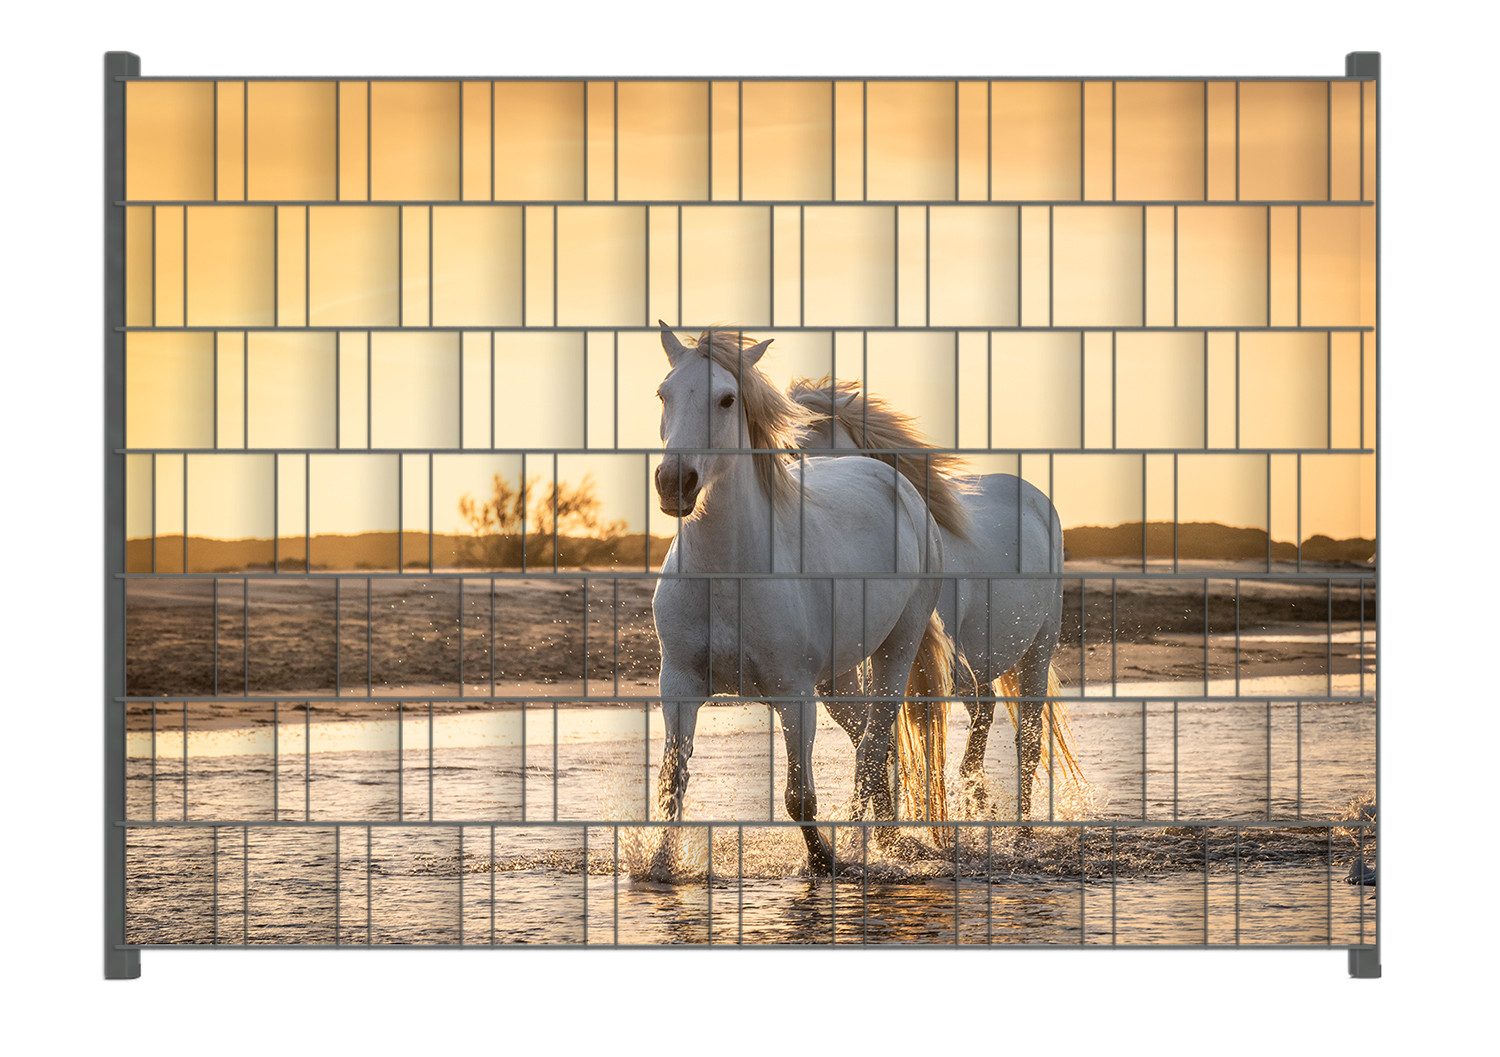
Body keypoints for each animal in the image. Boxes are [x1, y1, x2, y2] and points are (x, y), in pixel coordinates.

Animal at [649, 323, 954, 874]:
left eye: (727, 399)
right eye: (664, 394)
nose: (674, 483)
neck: (727, 578)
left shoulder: (794, 695)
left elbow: (799, 796)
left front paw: (825, 863)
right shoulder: (678, 687)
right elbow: (671, 786)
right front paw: (659, 869)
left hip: (896, 647)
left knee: (875, 744)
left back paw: (874, 845)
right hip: (837, 680)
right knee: (872, 742)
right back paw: (891, 838)